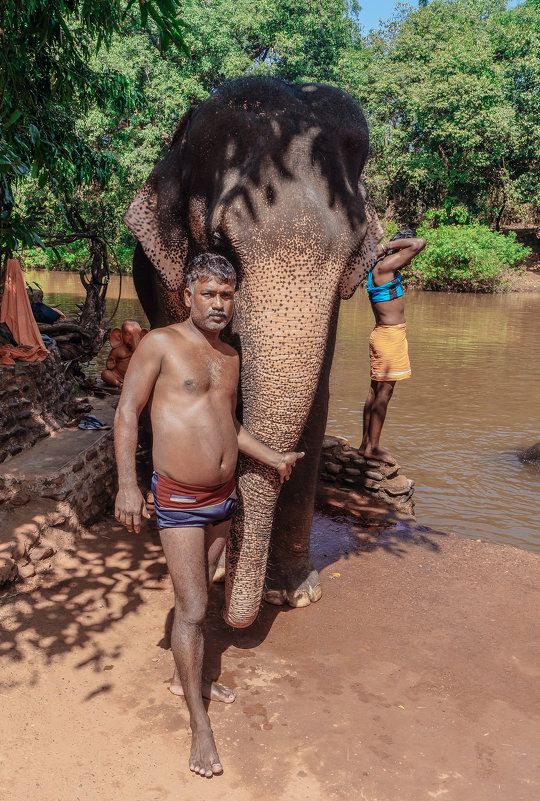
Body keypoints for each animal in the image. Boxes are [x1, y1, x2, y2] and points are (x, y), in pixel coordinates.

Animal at [124, 76, 382, 624]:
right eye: (220, 243)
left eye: (353, 255)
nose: (230, 614)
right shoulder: (167, 279)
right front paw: (223, 569)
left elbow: (317, 403)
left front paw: (293, 594)